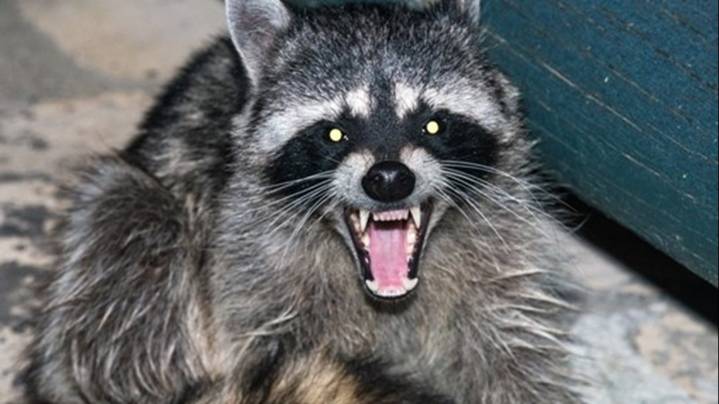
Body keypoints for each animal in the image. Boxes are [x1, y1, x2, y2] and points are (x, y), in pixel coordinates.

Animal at [24, 0, 581, 402]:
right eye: (335, 132)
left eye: (433, 124)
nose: (389, 179)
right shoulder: (254, 282)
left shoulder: (502, 267)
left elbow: (515, 355)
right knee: (124, 217)